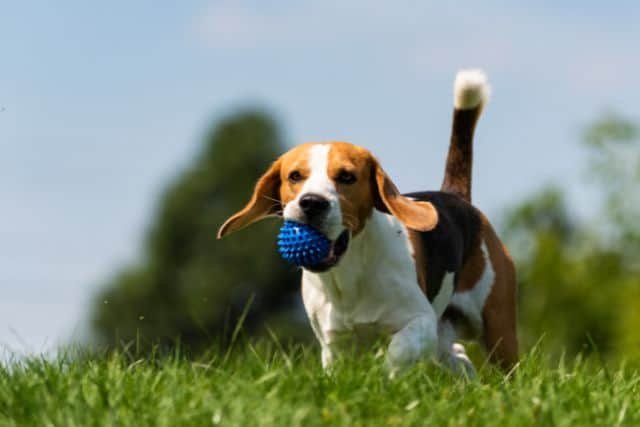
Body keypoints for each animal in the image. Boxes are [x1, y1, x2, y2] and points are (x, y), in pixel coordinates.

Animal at [218, 71, 516, 378]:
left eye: (347, 177)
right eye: (295, 176)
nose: (312, 203)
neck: (348, 274)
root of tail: (457, 196)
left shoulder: (420, 321)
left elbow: (399, 350)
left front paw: (388, 377)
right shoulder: (334, 343)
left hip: (496, 325)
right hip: (447, 334)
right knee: (459, 355)